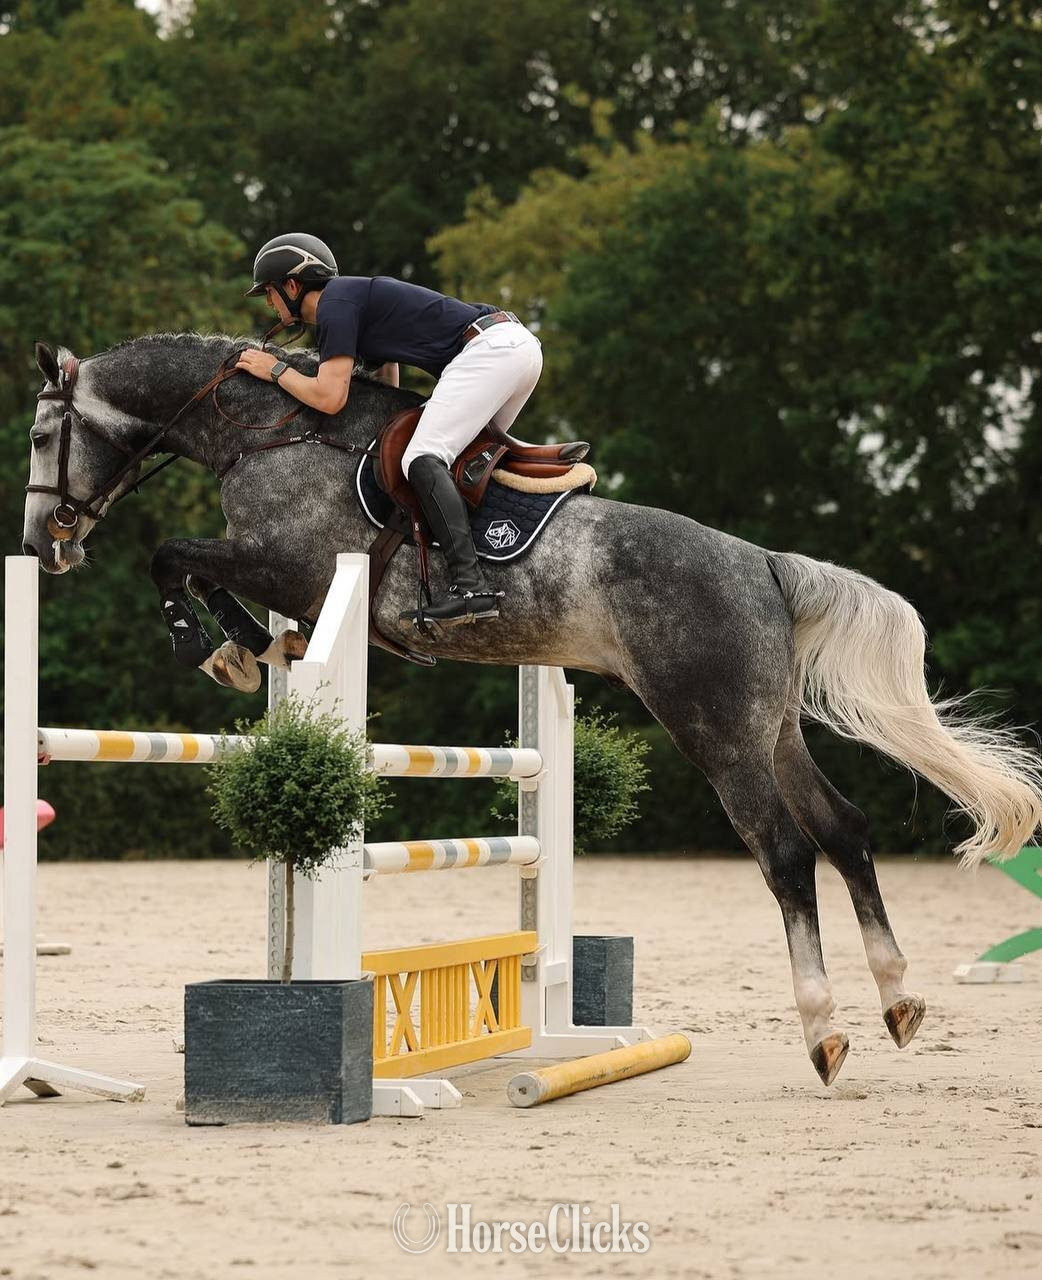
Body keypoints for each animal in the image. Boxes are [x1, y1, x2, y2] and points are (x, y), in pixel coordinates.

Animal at [22, 333, 1042, 1086]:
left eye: (37, 438)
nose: (44, 545)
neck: (268, 429)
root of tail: (760, 560)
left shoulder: (290, 564)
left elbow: (171, 553)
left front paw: (215, 646)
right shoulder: (286, 576)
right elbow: (205, 574)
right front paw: (250, 650)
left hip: (712, 726)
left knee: (786, 853)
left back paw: (825, 1033)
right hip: (770, 725)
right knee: (846, 831)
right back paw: (899, 1001)